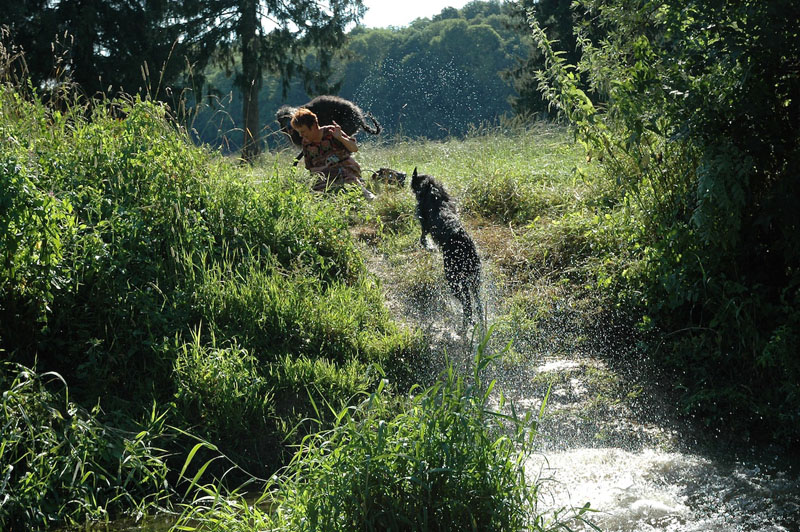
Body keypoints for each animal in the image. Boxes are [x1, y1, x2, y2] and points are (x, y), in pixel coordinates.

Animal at [410, 166, 484, 326]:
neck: (431, 190)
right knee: (477, 305)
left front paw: (429, 247)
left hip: (453, 279)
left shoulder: (424, 223)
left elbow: (422, 239)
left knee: (467, 304)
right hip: (474, 279)